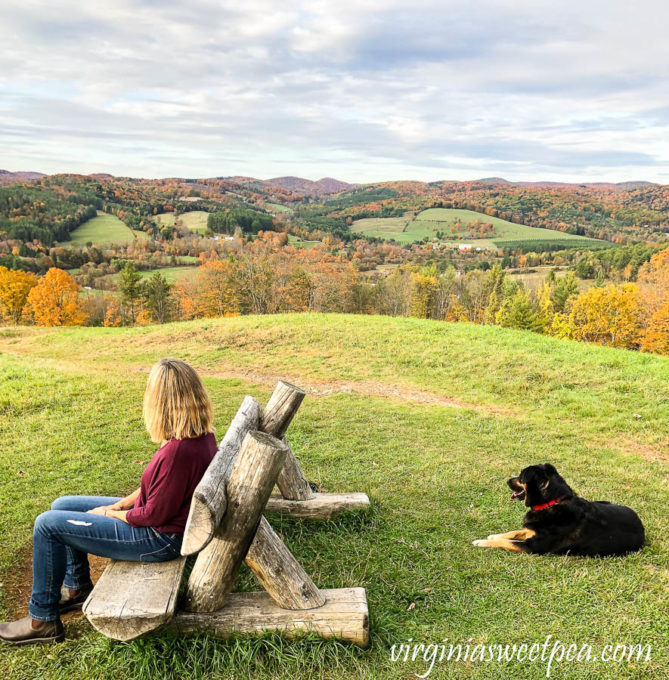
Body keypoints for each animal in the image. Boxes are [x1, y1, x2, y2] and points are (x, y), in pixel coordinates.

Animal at [472, 462, 644, 556]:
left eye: (521, 477)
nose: (507, 480)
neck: (550, 503)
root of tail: (642, 527)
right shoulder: (531, 530)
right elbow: (513, 533)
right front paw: (493, 536)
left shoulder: (533, 547)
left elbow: (508, 542)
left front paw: (481, 542)